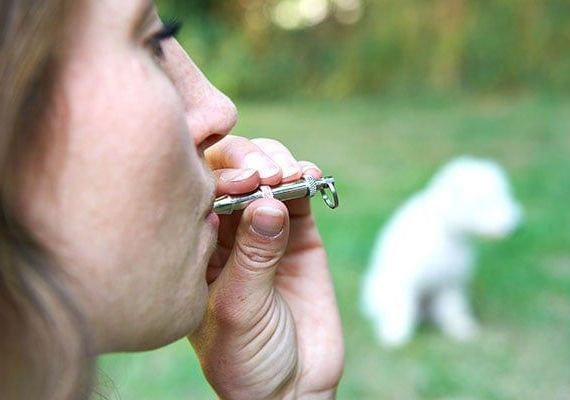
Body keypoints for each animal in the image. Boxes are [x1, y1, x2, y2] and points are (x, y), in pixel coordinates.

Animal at [362, 156, 520, 346]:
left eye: (504, 196)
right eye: (483, 203)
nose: (511, 226)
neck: (445, 230)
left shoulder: (450, 281)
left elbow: (453, 309)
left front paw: (460, 329)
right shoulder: (405, 278)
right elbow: (400, 307)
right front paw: (395, 334)